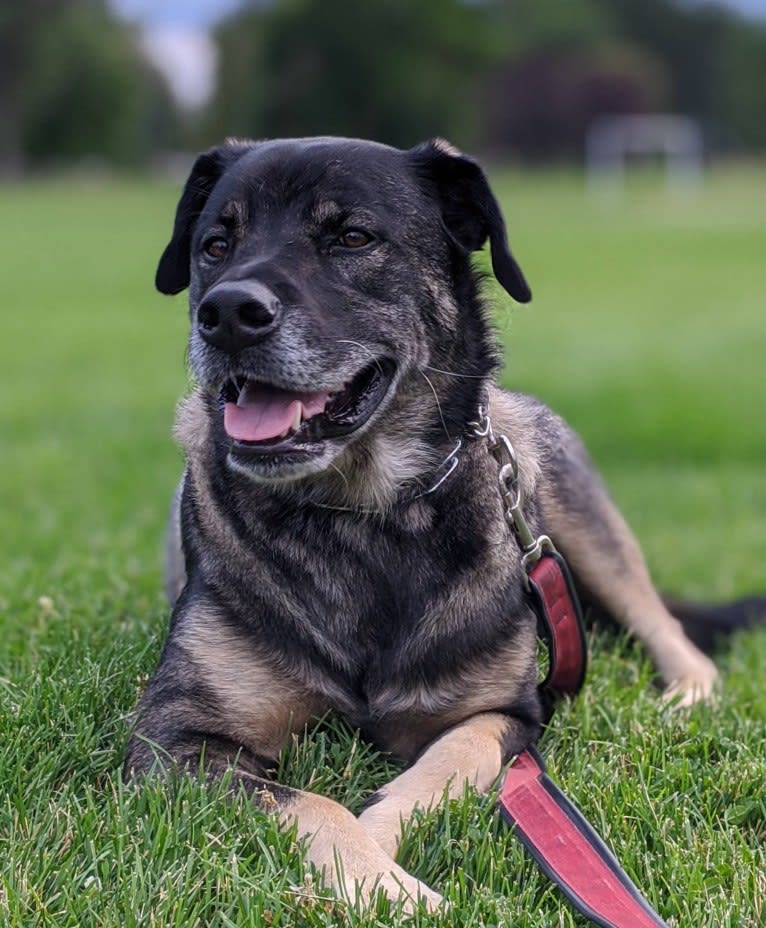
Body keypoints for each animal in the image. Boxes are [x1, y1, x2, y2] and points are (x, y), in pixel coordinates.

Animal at [124, 138, 756, 912]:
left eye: (353, 237)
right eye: (215, 245)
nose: (228, 313)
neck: (359, 511)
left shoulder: (504, 716)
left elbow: (444, 763)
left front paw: (383, 867)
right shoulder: (175, 739)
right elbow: (312, 803)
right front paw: (377, 881)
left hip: (579, 522)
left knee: (673, 636)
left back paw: (680, 700)